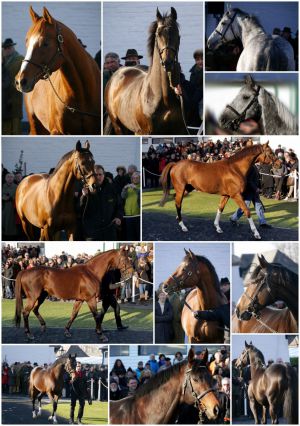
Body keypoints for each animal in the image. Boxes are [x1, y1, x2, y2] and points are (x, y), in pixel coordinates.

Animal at [104, 7, 186, 135]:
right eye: (158, 34)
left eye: (177, 34)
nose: (167, 63)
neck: (162, 98)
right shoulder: (145, 132)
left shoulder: (180, 131)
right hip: (119, 127)